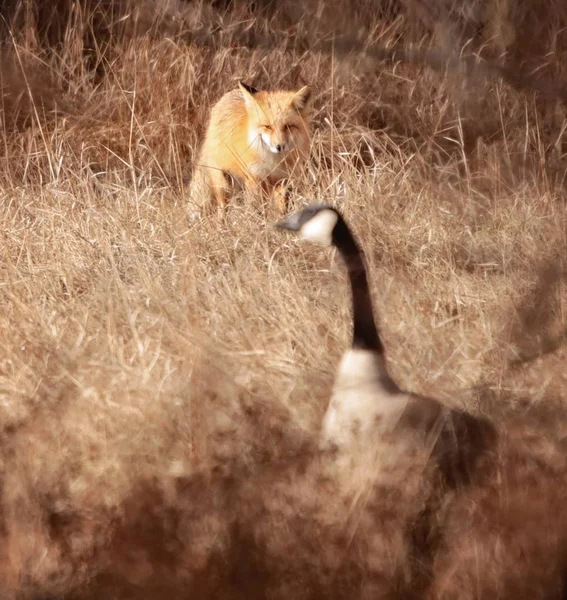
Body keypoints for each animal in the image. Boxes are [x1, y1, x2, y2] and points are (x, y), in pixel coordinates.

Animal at [192, 81, 316, 218]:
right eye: (267, 126)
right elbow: (257, 208)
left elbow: (282, 207)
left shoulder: (283, 179)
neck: (273, 163)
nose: (279, 146)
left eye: (288, 126)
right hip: (223, 183)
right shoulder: (255, 178)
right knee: (222, 208)